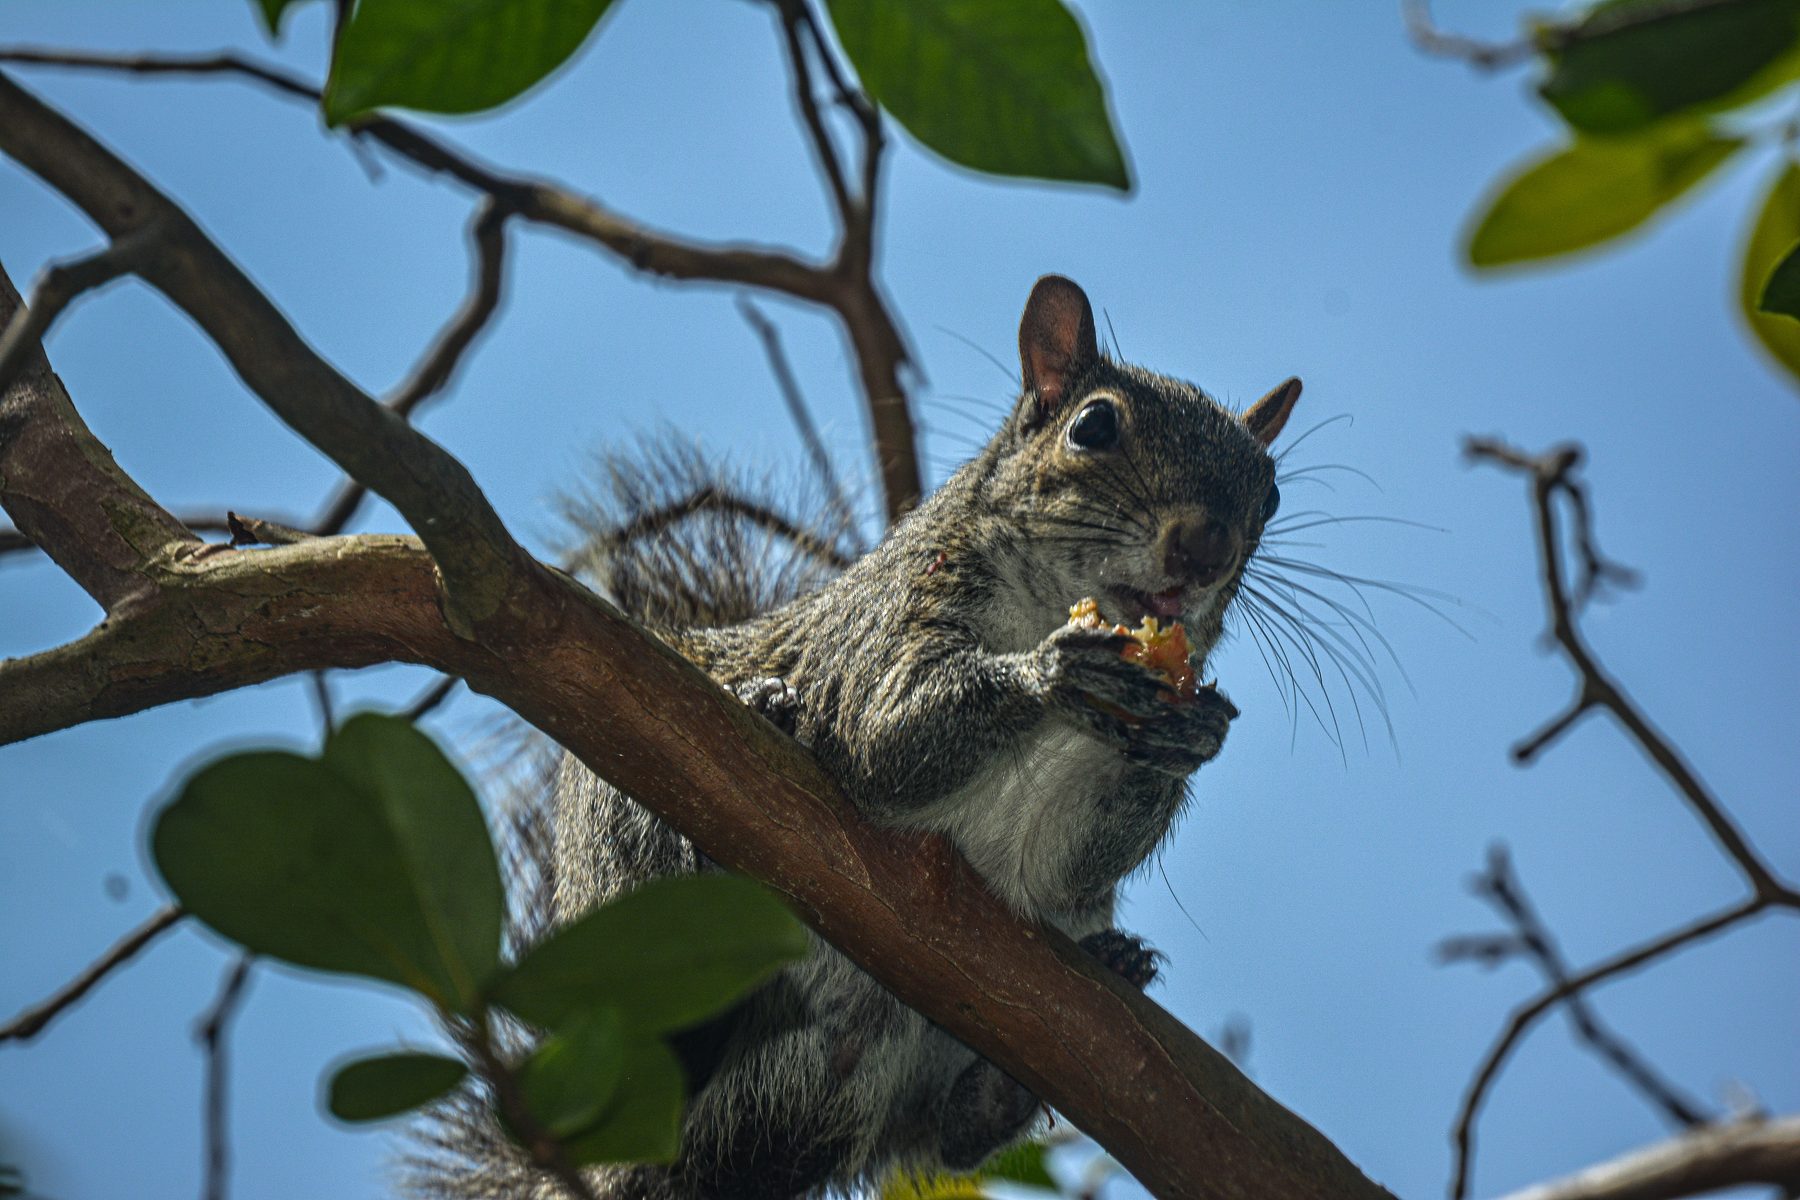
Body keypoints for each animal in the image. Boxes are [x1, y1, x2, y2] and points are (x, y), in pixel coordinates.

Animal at [413, 275, 1302, 1200]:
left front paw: (1191, 736)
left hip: (852, 1090)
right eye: (1094, 426)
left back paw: (1030, 1056)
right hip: (616, 833)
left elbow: (1083, 861)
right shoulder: (883, 629)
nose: (1207, 547)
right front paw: (1053, 671)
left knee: (940, 1135)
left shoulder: (1073, 829)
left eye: (1271, 494)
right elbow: (883, 738)